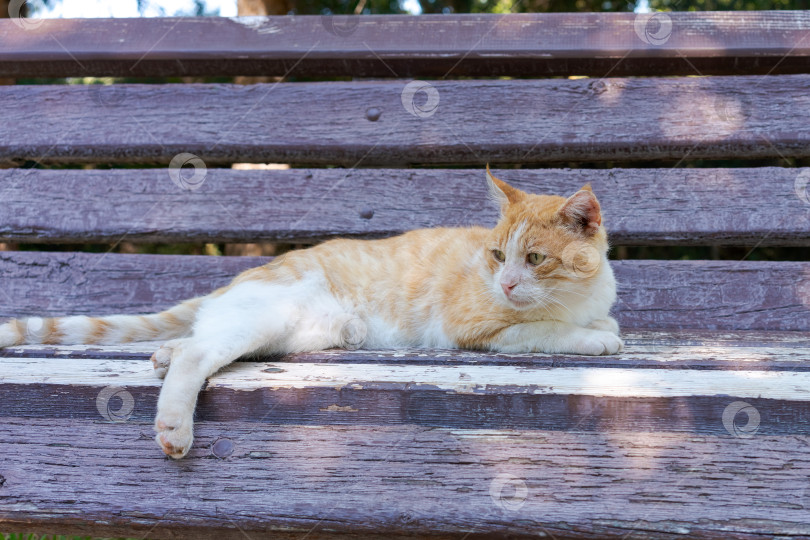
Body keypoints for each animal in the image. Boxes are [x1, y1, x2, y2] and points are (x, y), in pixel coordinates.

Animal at [0, 167, 620, 458]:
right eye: (497, 256)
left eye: (533, 258)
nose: (506, 281)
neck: (577, 295)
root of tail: (248, 274)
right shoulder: (475, 328)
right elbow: (545, 328)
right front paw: (592, 337)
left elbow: (598, 317)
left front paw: (601, 324)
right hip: (268, 317)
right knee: (199, 352)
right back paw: (174, 423)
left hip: (294, 333)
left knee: (196, 340)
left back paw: (162, 353)